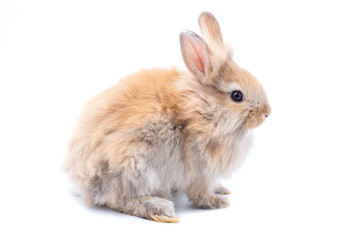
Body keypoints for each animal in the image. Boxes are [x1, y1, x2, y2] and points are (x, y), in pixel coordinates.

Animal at [66, 11, 272, 223]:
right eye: (237, 95)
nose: (267, 112)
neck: (203, 109)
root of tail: (82, 181)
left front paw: (222, 190)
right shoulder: (200, 172)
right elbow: (200, 194)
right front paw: (217, 202)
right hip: (131, 167)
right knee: (118, 200)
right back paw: (159, 208)